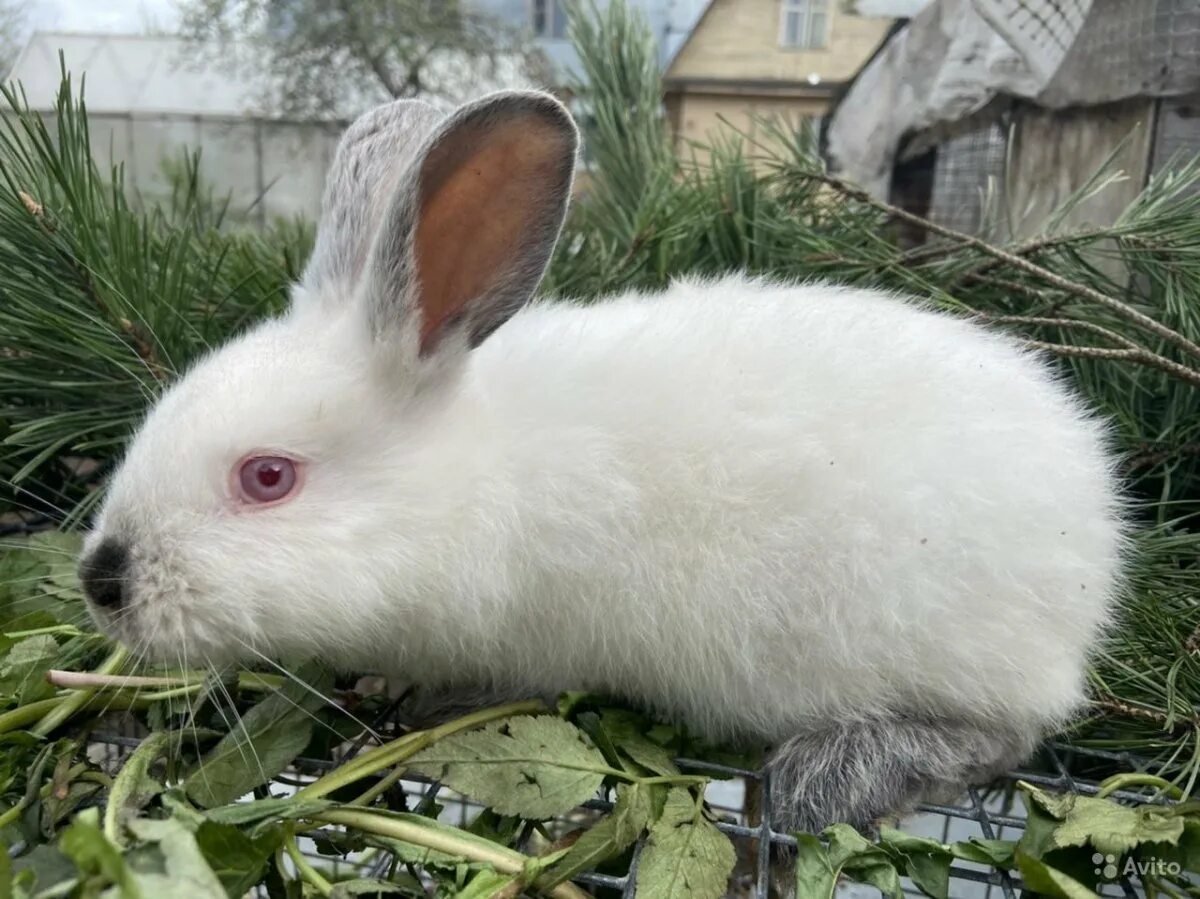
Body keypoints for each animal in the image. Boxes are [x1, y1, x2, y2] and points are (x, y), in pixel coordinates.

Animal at [82, 89, 1123, 825]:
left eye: (268, 477)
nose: (103, 581)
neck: (468, 475)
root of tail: (1097, 521)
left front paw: (419, 699)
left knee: (1003, 737)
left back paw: (828, 778)